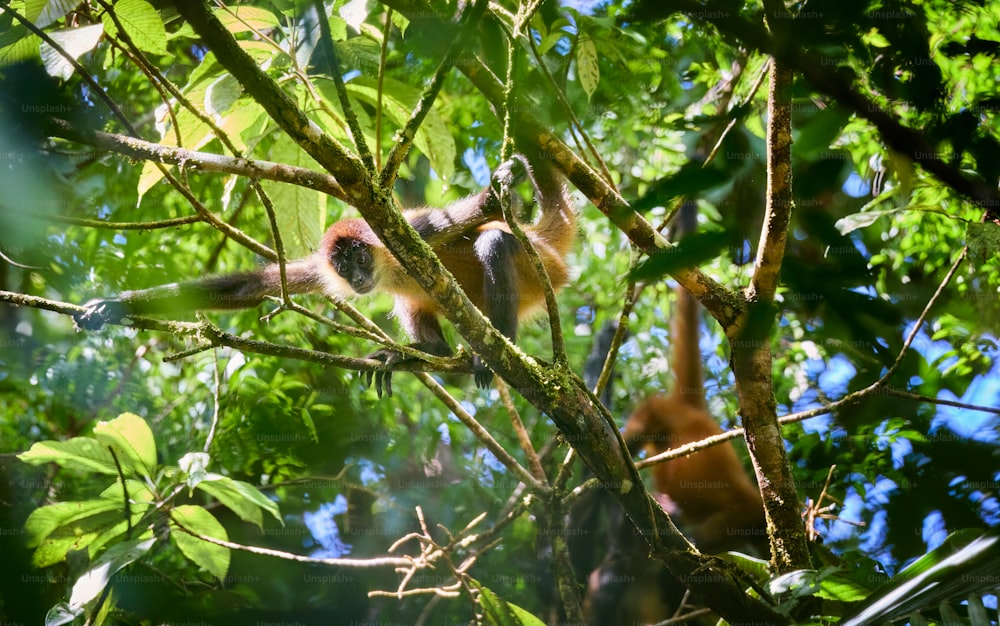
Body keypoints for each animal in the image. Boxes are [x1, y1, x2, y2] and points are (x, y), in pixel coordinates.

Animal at [74, 154, 576, 392]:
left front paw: (499, 191)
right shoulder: (321, 267)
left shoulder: (414, 232)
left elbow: (478, 215)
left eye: (360, 258)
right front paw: (109, 306)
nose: (356, 279)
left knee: (496, 241)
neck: (388, 267)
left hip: (536, 270)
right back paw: (420, 352)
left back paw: (494, 348)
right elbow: (252, 286)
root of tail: (545, 245)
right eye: (342, 266)